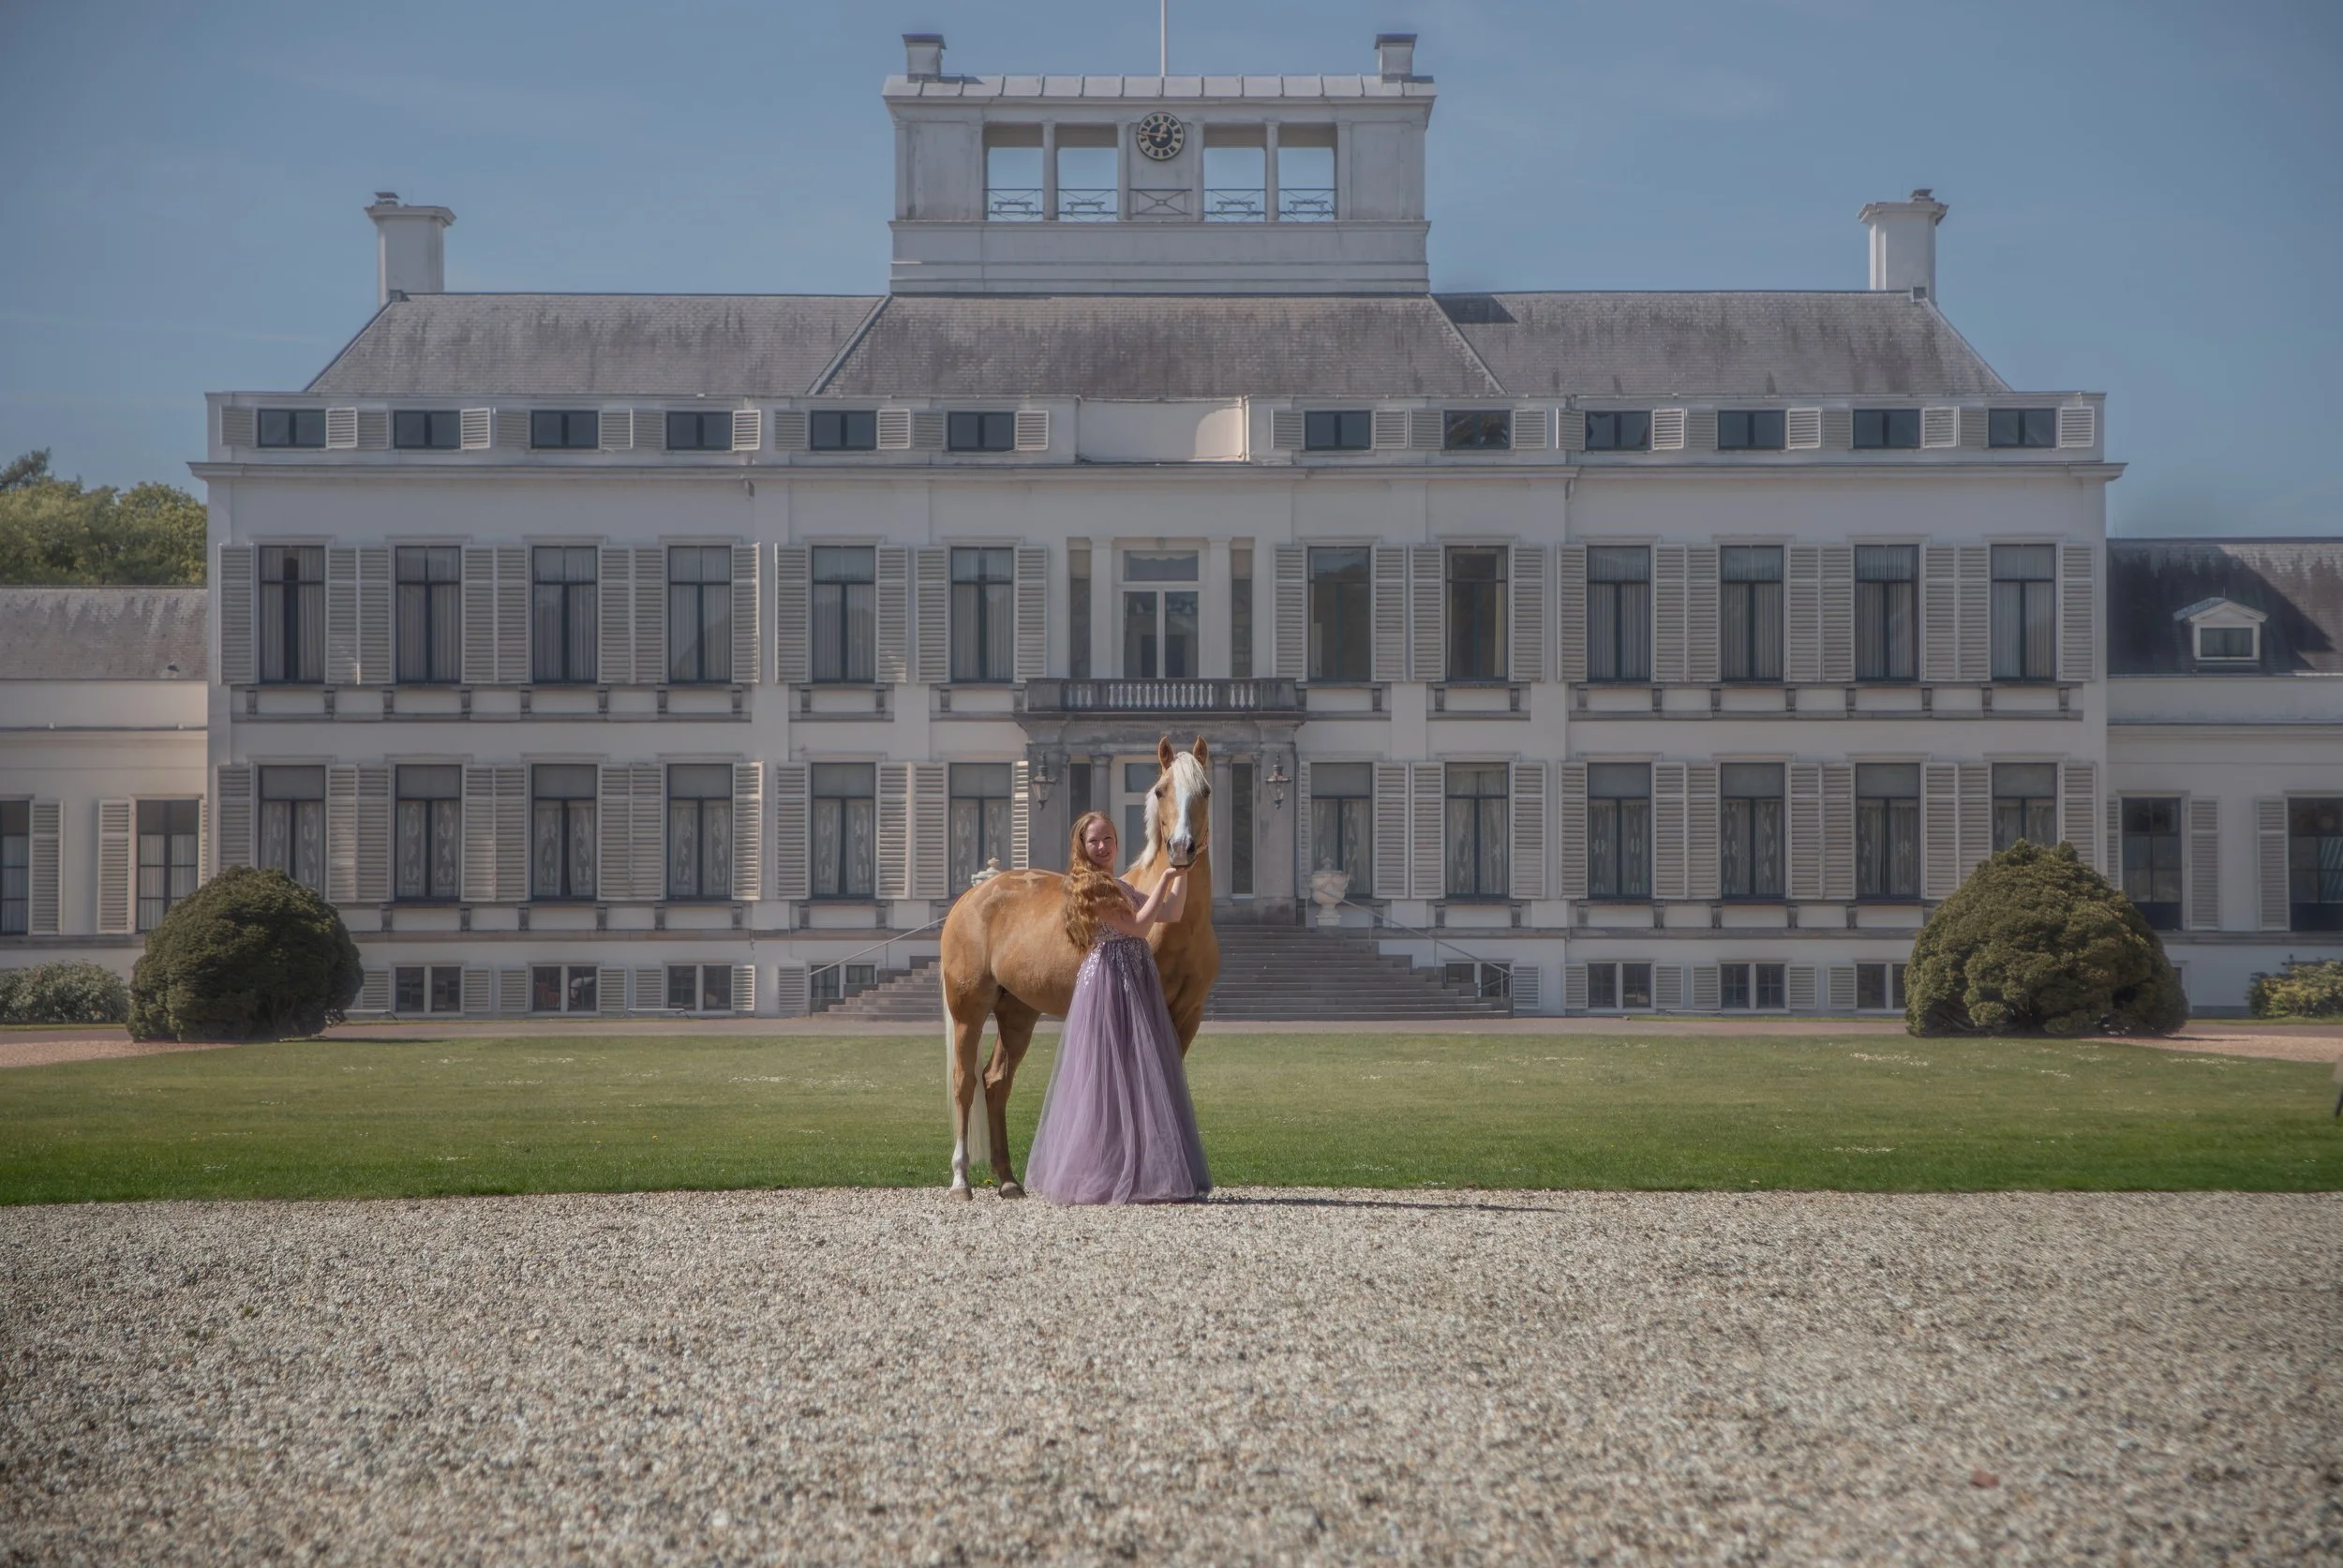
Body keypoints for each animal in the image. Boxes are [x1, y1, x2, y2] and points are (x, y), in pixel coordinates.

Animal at [935, 735, 1220, 1199]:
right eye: (1161, 790)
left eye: (1206, 791)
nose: (1181, 849)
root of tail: (971, 897)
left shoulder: (1188, 1015)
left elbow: (1169, 1078)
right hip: (969, 1010)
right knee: (965, 1083)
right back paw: (962, 1181)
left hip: (1017, 1013)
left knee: (996, 1082)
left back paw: (1009, 1180)